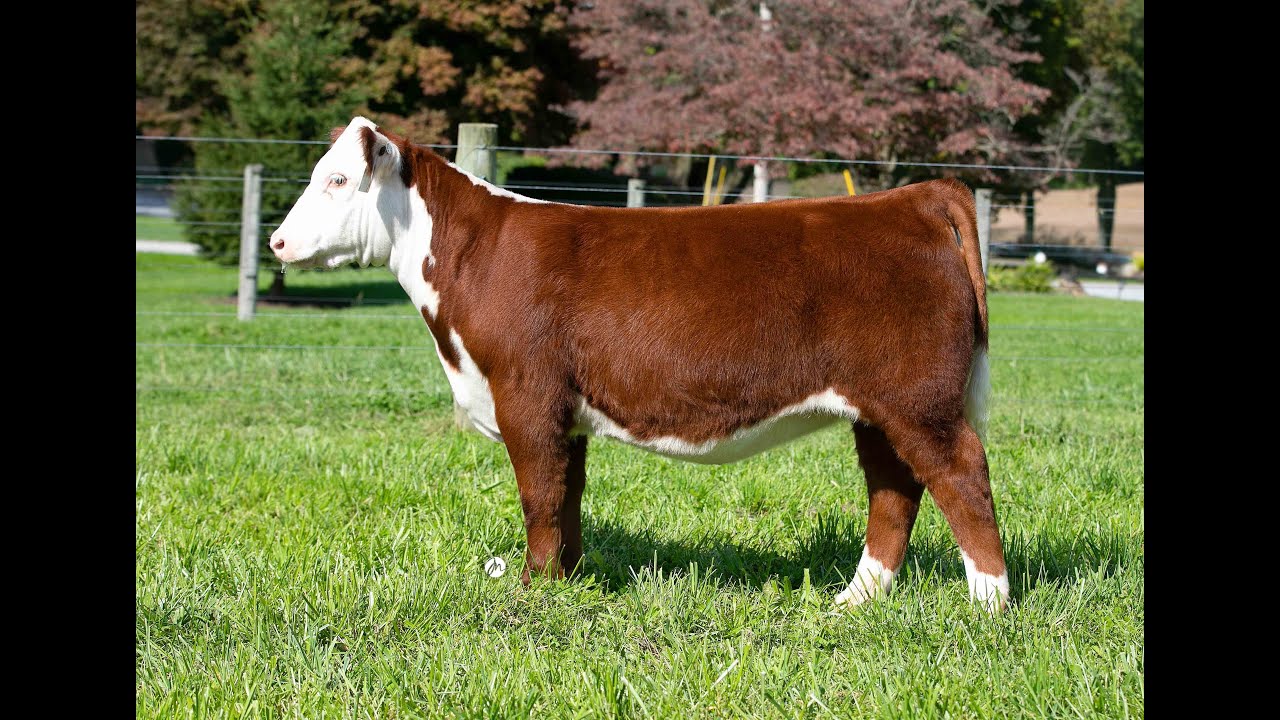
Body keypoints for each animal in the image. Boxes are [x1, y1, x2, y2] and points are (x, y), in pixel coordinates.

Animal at [270, 117, 1008, 612]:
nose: (277, 241)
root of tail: (913, 196)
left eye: (337, 179)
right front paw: (566, 582)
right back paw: (856, 600)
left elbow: (539, 496)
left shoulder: (525, 396)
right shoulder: (564, 411)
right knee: (895, 489)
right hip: (879, 409)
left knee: (962, 477)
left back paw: (989, 604)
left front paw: (532, 592)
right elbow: (567, 495)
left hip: (918, 399)